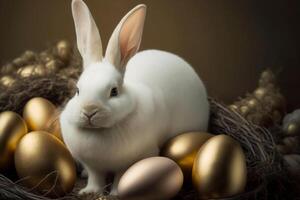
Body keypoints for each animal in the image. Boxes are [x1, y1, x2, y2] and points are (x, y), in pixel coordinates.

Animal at [60, 0, 210, 195]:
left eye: (114, 91)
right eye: (78, 90)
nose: (89, 110)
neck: (99, 132)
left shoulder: (131, 162)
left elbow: (121, 177)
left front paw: (116, 194)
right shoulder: (94, 166)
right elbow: (95, 178)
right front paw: (90, 192)